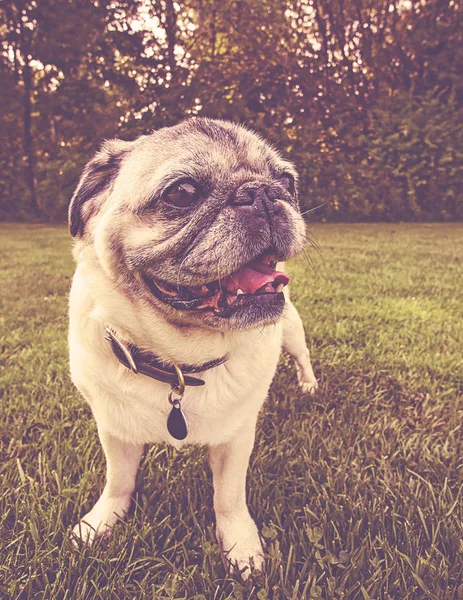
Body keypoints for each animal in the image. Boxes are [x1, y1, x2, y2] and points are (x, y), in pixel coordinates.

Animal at [69, 117, 320, 576]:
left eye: (286, 181)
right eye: (183, 192)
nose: (263, 192)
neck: (180, 363)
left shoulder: (236, 436)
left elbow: (229, 497)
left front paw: (240, 546)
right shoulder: (114, 428)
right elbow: (119, 481)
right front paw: (101, 523)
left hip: (292, 329)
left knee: (302, 356)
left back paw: (308, 385)